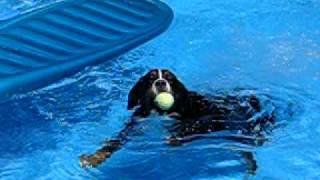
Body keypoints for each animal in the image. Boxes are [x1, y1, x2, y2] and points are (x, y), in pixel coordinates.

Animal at [80, 69, 276, 173]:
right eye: (150, 78)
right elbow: (112, 143)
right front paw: (94, 158)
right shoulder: (133, 126)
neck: (159, 113)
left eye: (170, 79)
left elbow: (189, 129)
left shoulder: (201, 120)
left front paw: (174, 138)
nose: (160, 82)